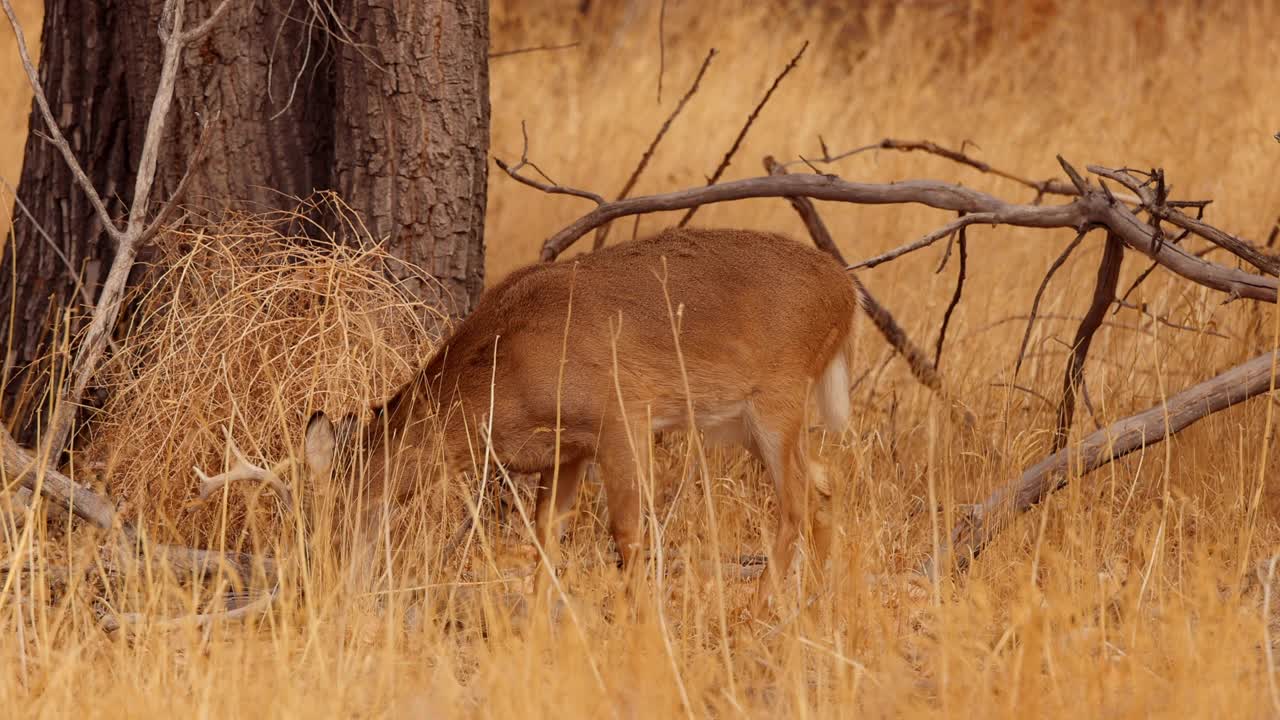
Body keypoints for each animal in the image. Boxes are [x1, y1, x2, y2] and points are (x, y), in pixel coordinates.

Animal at [299, 226, 860, 607]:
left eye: (332, 516)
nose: (321, 585)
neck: (504, 372)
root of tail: (846, 292)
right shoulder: (565, 452)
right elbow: (546, 536)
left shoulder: (622, 419)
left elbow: (627, 531)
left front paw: (639, 619)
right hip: (747, 423)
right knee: (826, 482)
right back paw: (819, 601)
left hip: (776, 403)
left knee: (796, 503)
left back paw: (761, 605)